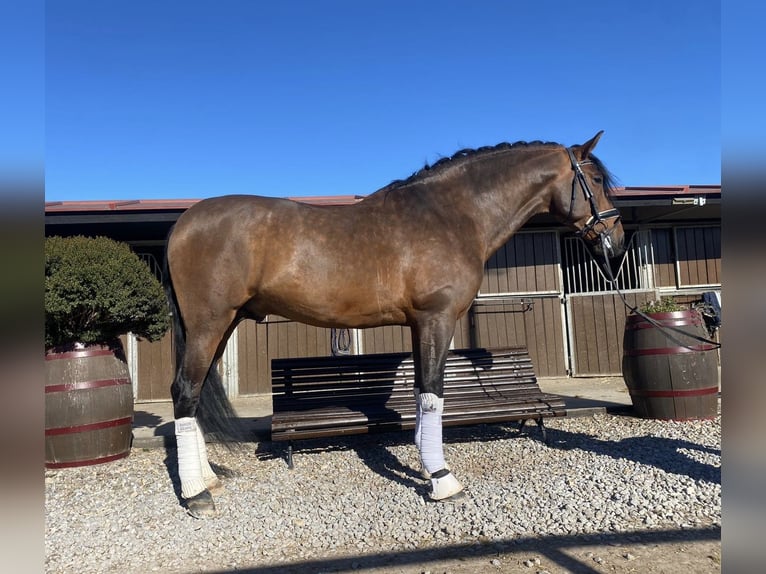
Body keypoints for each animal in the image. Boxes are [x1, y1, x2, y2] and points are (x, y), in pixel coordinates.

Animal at [164, 131, 625, 518]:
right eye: (596, 179)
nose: (616, 246)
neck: (452, 215)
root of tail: (182, 224)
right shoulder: (436, 318)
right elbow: (433, 394)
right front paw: (442, 481)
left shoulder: (420, 325)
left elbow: (422, 392)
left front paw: (426, 466)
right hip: (209, 324)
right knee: (186, 391)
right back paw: (196, 494)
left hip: (222, 326)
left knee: (196, 393)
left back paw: (207, 480)